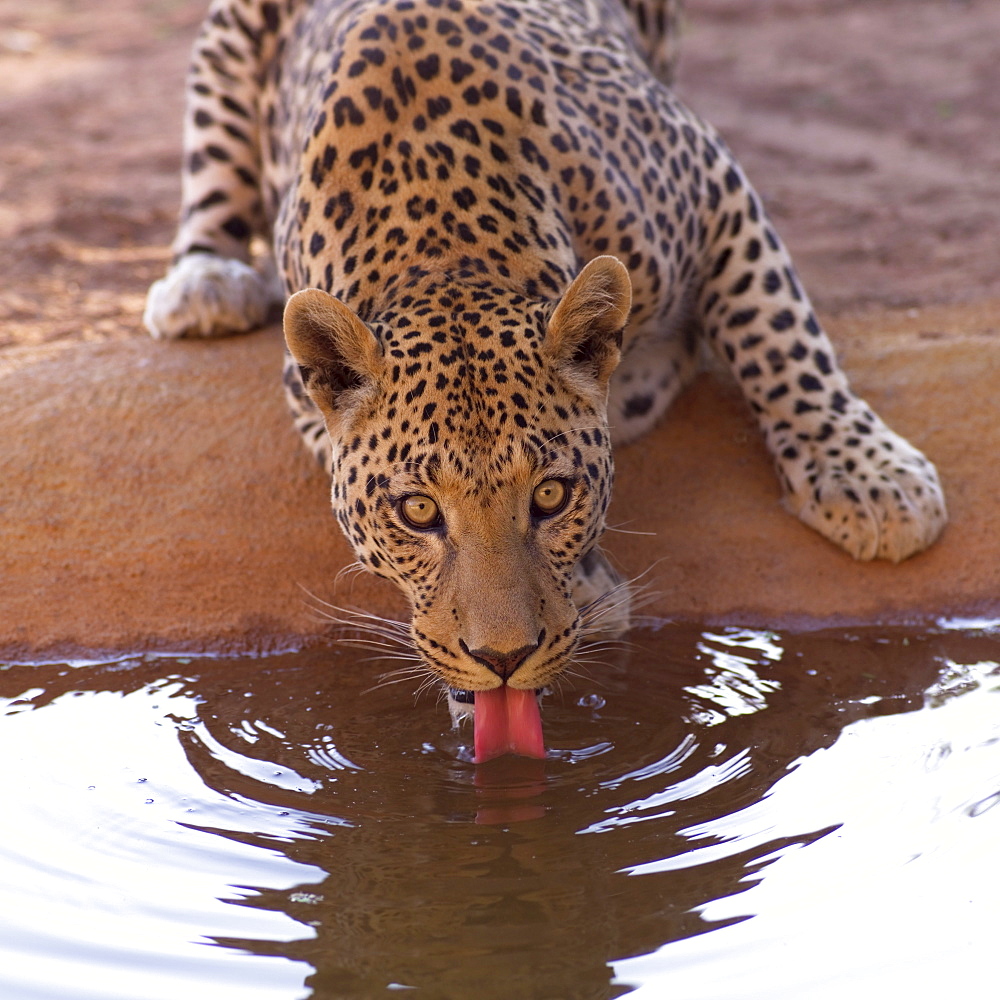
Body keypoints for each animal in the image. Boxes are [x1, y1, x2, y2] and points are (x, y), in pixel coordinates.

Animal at [143, 0, 944, 720]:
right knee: (209, 174)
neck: (446, 247)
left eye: (552, 496)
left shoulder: (713, 182)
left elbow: (776, 325)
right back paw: (204, 283)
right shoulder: (302, 391)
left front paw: (869, 479)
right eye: (417, 511)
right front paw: (580, 595)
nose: (503, 659)